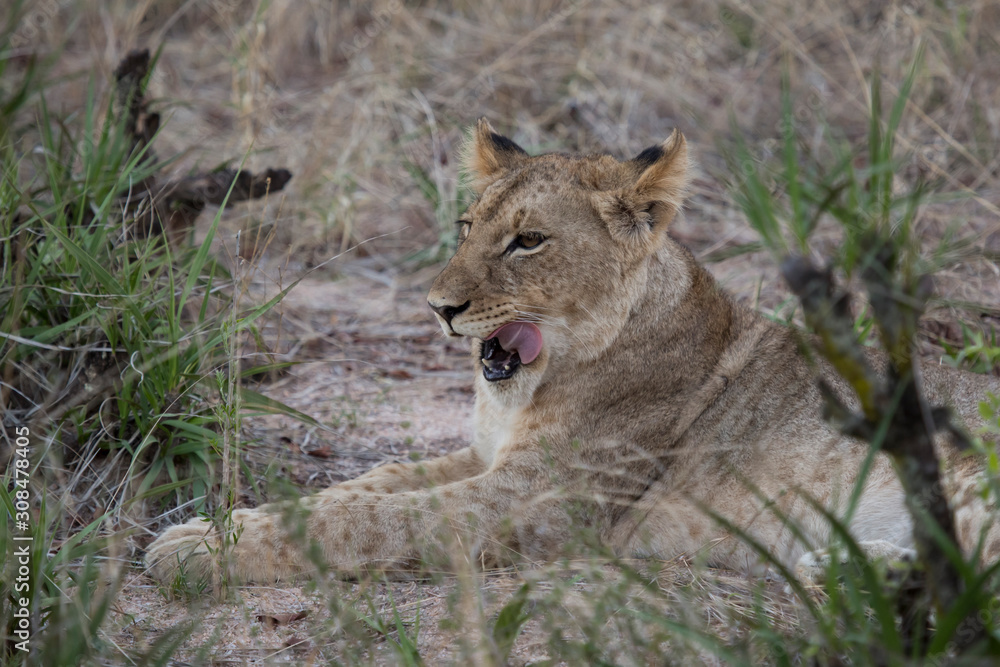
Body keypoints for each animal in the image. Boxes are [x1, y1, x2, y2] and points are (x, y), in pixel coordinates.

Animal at [146, 119, 1000, 586]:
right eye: (467, 226)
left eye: (528, 241)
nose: (438, 308)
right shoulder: (485, 457)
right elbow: (363, 488)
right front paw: (220, 522)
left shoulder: (530, 501)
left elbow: (367, 522)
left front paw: (194, 550)